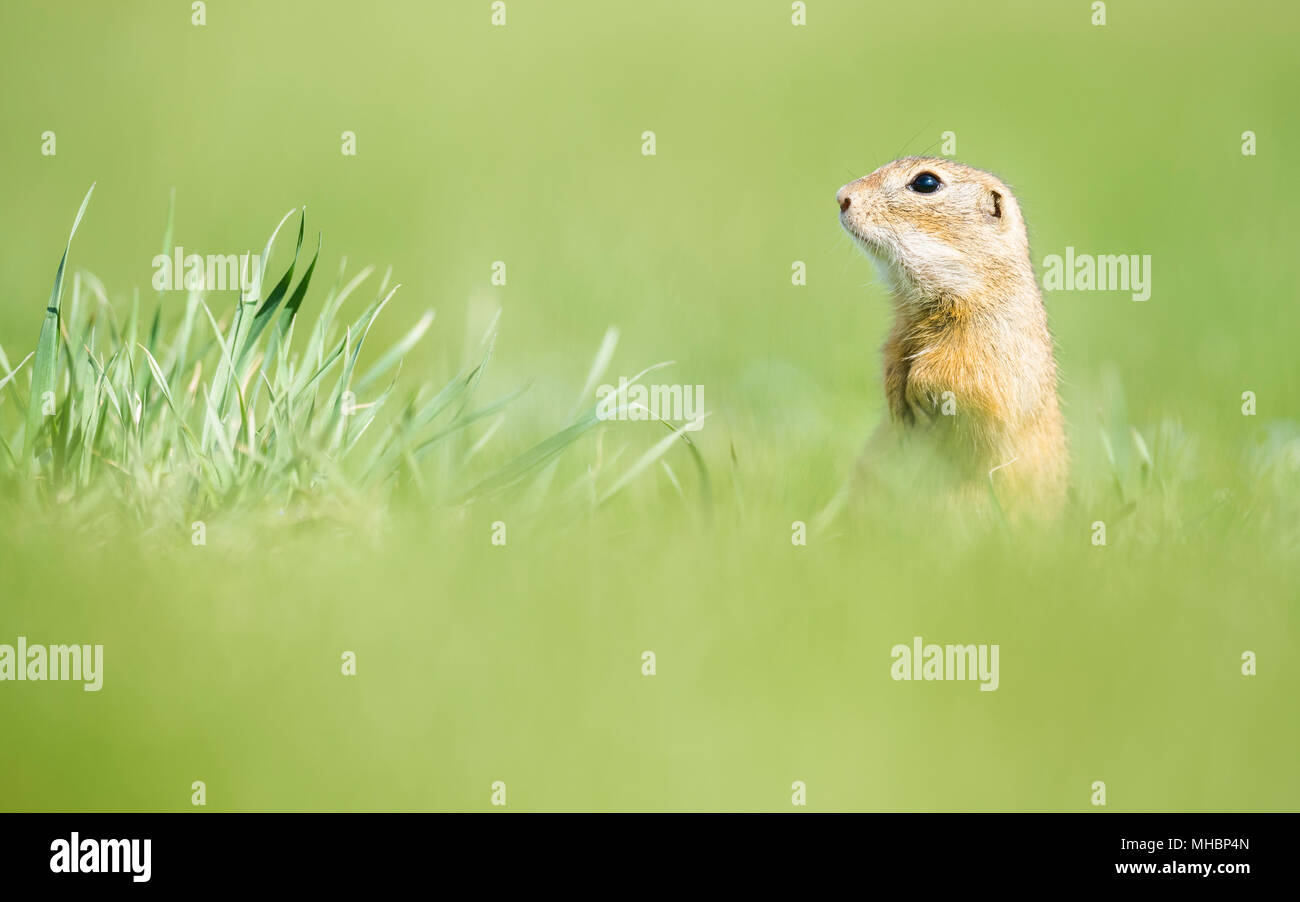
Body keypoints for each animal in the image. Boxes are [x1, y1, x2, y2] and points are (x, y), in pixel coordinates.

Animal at [842, 159, 1066, 519]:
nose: (841, 197)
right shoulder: (899, 331)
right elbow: (892, 355)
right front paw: (897, 398)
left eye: (926, 182)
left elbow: (968, 382)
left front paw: (919, 390)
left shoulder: (994, 343)